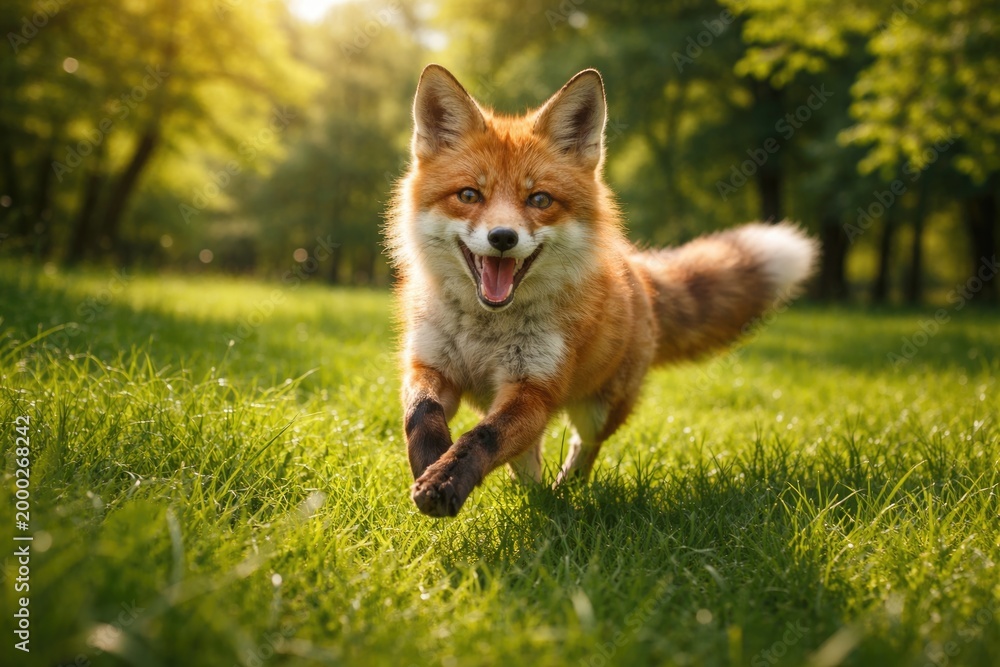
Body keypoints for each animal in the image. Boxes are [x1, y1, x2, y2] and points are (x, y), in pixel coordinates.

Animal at [386, 64, 818, 517]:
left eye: (539, 199)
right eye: (469, 194)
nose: (502, 237)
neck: (486, 330)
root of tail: (635, 267)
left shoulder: (534, 391)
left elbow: (481, 437)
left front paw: (447, 478)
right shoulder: (429, 366)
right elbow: (420, 414)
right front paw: (430, 462)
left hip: (600, 409)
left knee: (583, 448)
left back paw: (563, 494)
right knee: (528, 459)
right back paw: (537, 495)